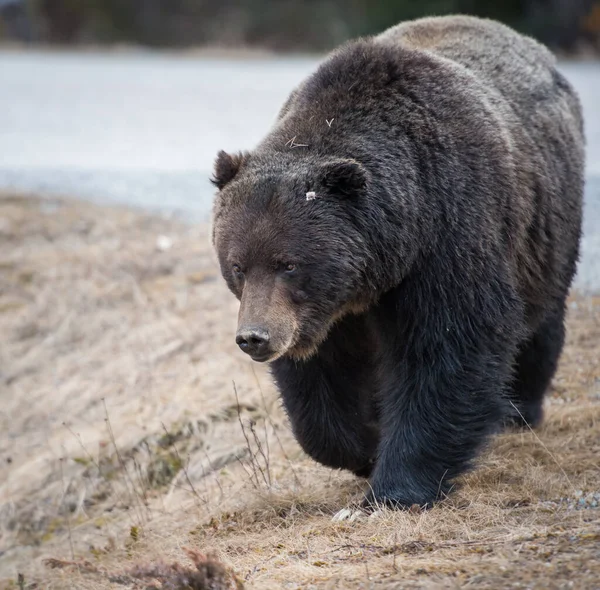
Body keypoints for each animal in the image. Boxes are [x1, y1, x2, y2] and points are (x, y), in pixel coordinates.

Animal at [209, 16, 584, 512]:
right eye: (237, 266)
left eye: (287, 263)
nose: (254, 337)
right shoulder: (322, 313)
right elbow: (323, 382)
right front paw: (364, 447)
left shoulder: (448, 235)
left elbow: (448, 348)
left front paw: (397, 487)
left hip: (544, 228)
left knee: (538, 320)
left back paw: (518, 408)